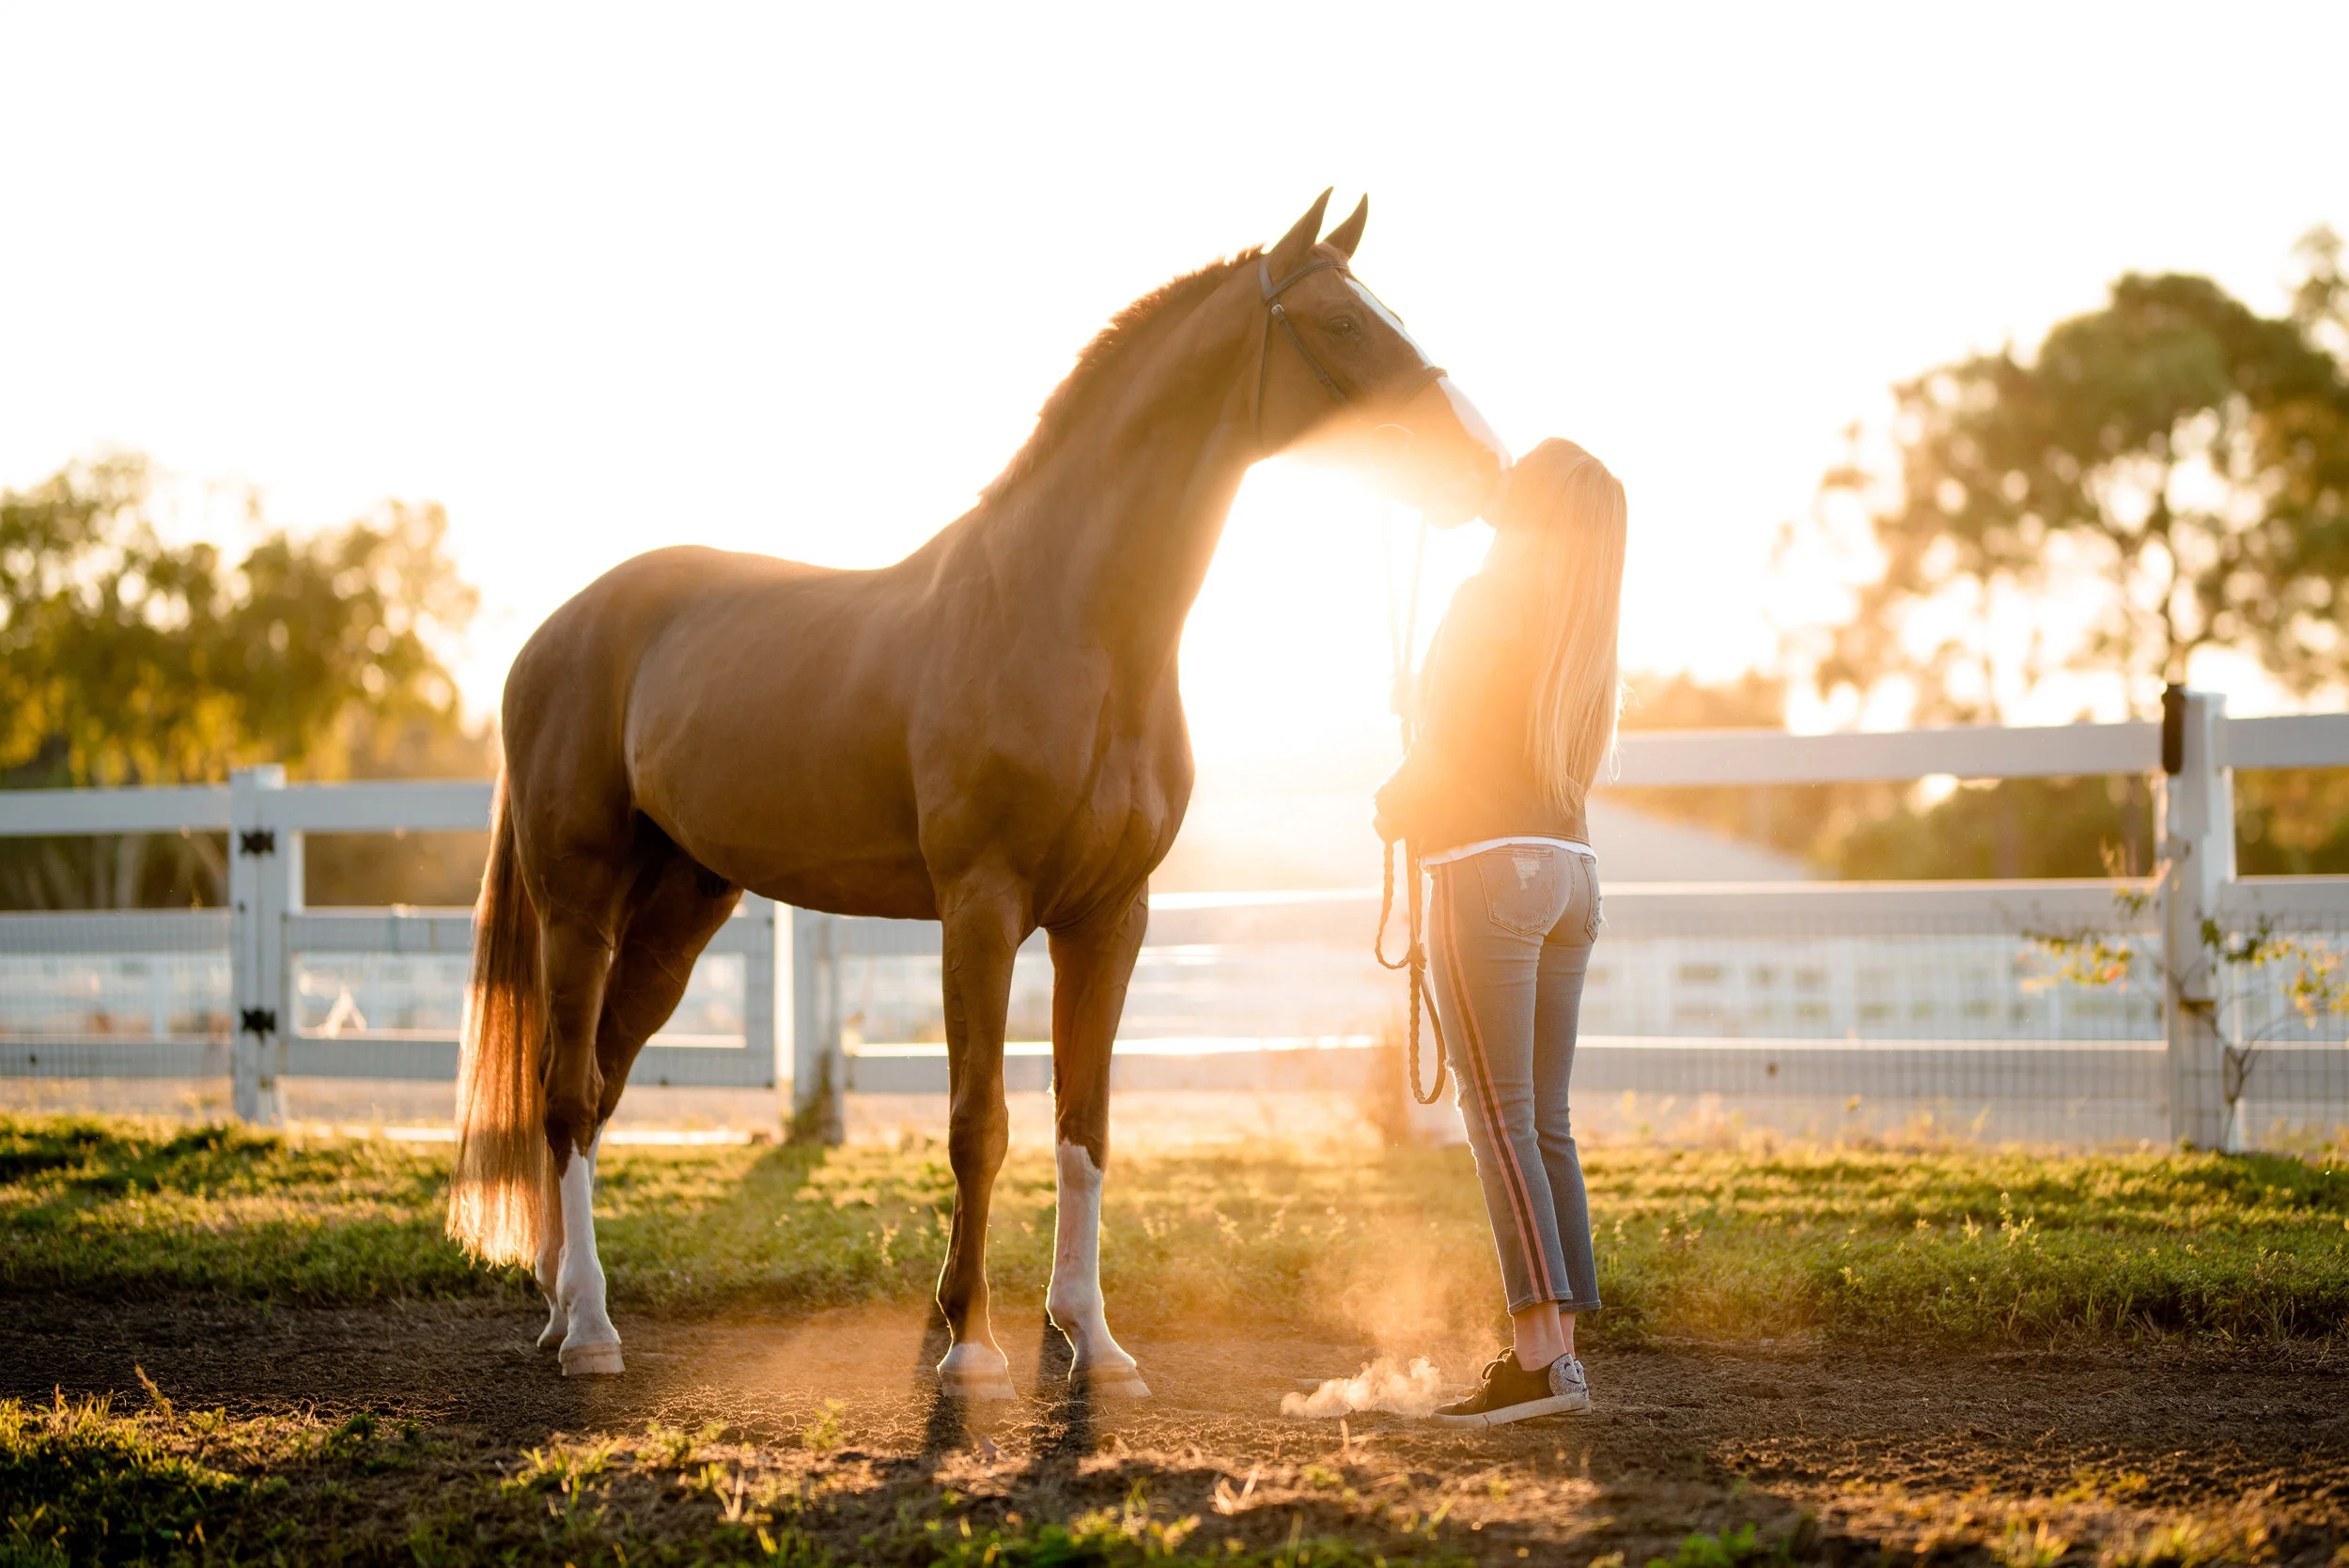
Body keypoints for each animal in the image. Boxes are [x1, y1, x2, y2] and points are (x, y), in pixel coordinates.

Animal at [445, 189, 1509, 1396]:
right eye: (1341, 323)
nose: (1484, 466)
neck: (1069, 621)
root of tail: (557, 631)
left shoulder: (1110, 918)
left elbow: (1085, 1124)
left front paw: (1094, 1341)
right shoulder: (981, 908)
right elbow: (978, 1123)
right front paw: (971, 1344)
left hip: (680, 911)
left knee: (598, 1080)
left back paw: (558, 1303)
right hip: (580, 903)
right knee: (567, 1092)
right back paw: (588, 1329)